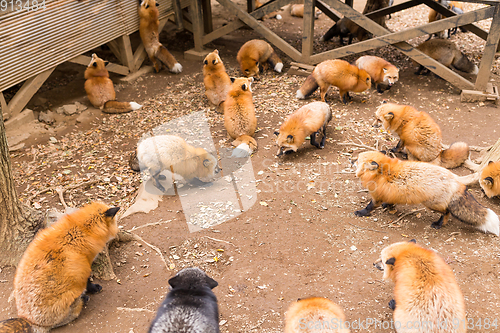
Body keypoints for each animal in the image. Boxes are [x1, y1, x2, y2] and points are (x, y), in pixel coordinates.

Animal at [354, 150, 498, 233]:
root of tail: (456, 180)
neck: (381, 173)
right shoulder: (392, 193)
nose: (350, 159)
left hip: (432, 204)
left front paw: (361, 212)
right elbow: (390, 201)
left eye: (357, 159)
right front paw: (388, 206)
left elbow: (369, 206)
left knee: (446, 212)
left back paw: (439, 224)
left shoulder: (377, 196)